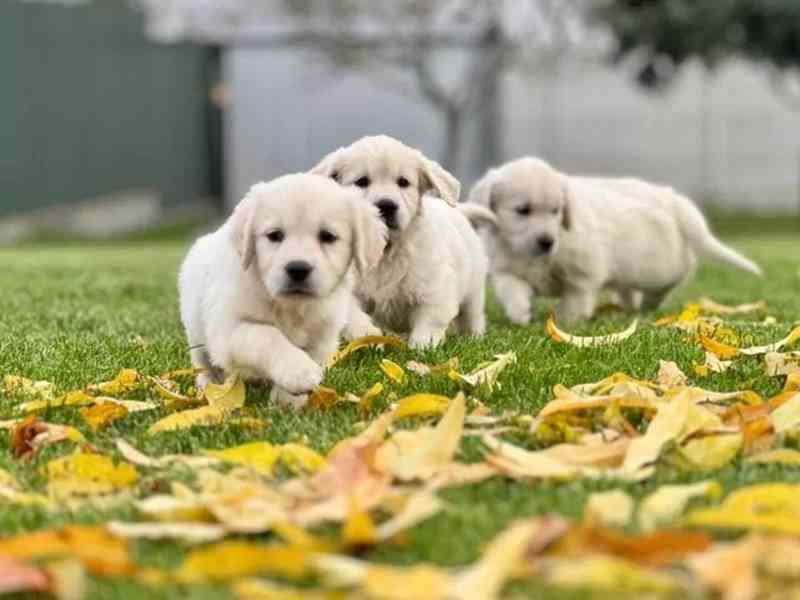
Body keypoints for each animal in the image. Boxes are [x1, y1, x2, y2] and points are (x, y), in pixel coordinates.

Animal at [180, 173, 386, 408]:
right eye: (274, 235)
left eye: (328, 236)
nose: (298, 268)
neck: (293, 306)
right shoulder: (228, 329)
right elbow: (268, 336)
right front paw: (298, 371)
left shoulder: (322, 335)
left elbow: (310, 353)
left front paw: (287, 402)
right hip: (196, 332)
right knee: (203, 363)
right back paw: (208, 386)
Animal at [310, 133, 494, 344]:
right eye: (362, 181)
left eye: (403, 182)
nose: (386, 205)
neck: (386, 249)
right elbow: (351, 313)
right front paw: (366, 335)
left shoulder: (435, 286)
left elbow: (430, 319)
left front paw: (423, 344)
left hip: (474, 288)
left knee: (472, 316)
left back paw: (474, 337)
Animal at [468, 156, 764, 324]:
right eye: (523, 210)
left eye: (556, 211)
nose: (547, 241)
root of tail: (673, 199)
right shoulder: (506, 268)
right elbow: (512, 289)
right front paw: (520, 313)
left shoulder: (584, 270)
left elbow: (576, 298)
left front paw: (567, 322)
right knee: (628, 288)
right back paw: (628, 306)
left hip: (657, 264)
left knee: (675, 275)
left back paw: (649, 303)